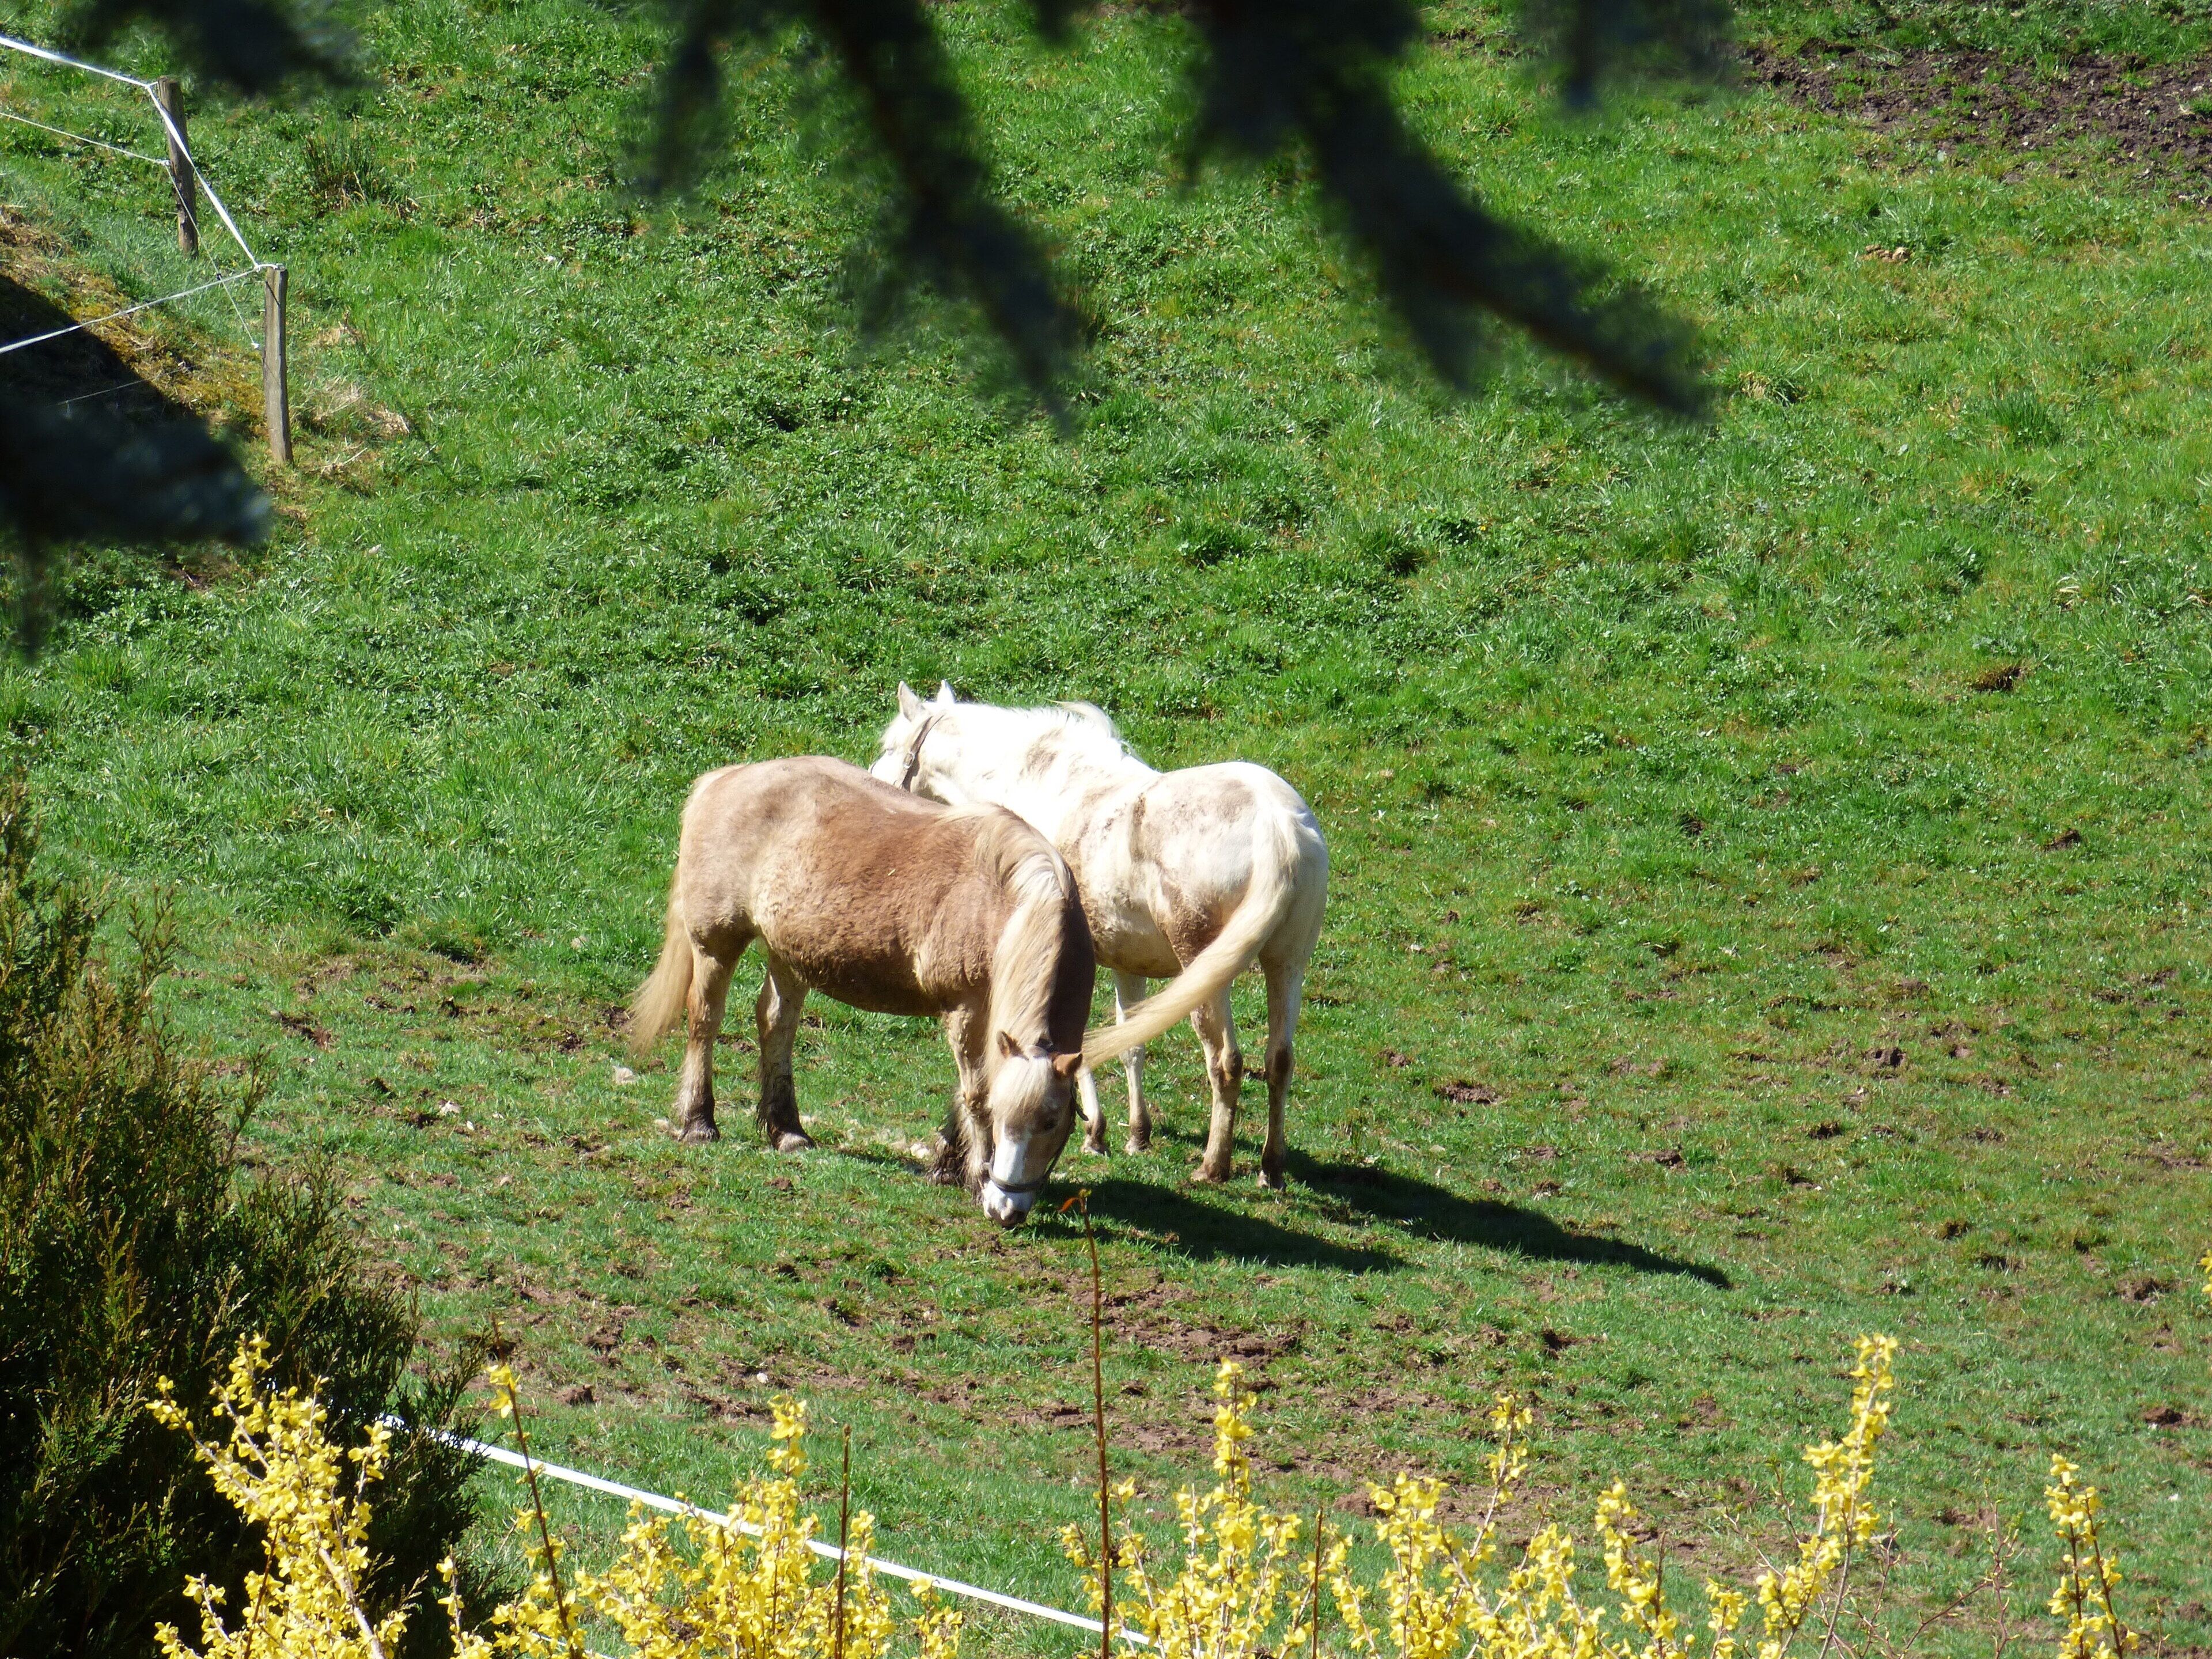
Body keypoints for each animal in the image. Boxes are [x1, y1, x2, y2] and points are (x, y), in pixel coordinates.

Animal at [627, 756, 1094, 1225]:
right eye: (1005, 1117)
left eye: (1052, 1122)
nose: (1006, 1210)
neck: (1004, 903)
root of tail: (721, 780)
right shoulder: (968, 1013)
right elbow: (976, 1094)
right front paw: (976, 1175)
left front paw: (947, 1164)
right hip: (716, 946)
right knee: (704, 1021)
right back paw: (698, 1122)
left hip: (788, 955)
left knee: (775, 1025)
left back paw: (788, 1131)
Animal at [873, 684, 1328, 1188]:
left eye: (888, 746)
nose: (874, 782)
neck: (1045, 788)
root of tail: (1277, 825)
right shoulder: (1128, 966)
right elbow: (1130, 1044)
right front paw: (1133, 1134)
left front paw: (1092, 1129)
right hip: (1287, 965)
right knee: (1280, 1060)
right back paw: (1271, 1168)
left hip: (1207, 972)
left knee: (1225, 1062)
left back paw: (1214, 1164)